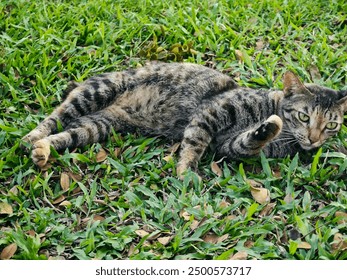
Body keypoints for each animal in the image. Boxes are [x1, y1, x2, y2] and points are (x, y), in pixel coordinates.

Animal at [23, 62, 347, 178]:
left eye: (331, 125)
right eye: (304, 116)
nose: (314, 140)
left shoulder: (231, 145)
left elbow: (250, 139)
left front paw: (269, 126)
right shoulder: (213, 111)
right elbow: (194, 142)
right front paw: (185, 172)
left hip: (98, 126)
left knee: (68, 133)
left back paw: (43, 150)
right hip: (96, 91)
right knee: (56, 115)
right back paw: (30, 138)